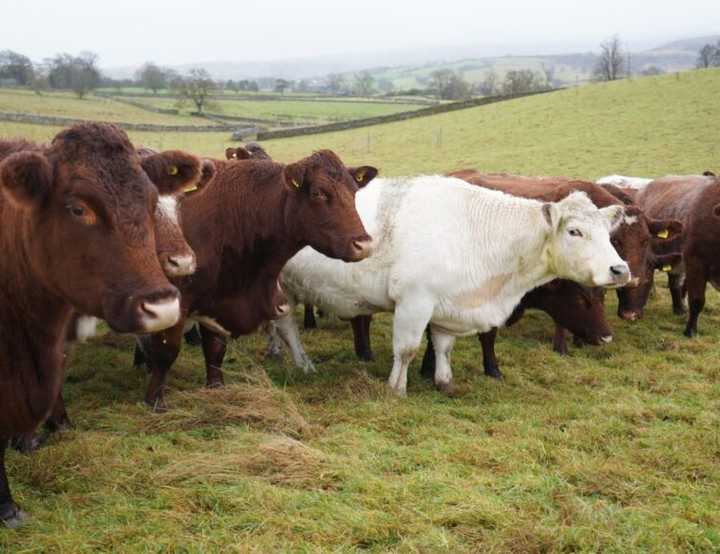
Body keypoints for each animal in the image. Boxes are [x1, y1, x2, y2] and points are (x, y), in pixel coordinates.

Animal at [135, 151, 377, 411]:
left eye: (353, 192)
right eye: (318, 193)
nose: (363, 244)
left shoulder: (217, 299)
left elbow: (215, 349)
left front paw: (216, 388)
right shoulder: (178, 303)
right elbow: (167, 351)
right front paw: (155, 401)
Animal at [270, 175, 630, 396]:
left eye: (607, 232)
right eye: (574, 231)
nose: (620, 269)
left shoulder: (448, 305)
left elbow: (443, 346)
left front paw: (444, 382)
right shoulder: (414, 301)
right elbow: (406, 349)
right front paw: (396, 389)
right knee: (287, 325)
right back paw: (303, 363)